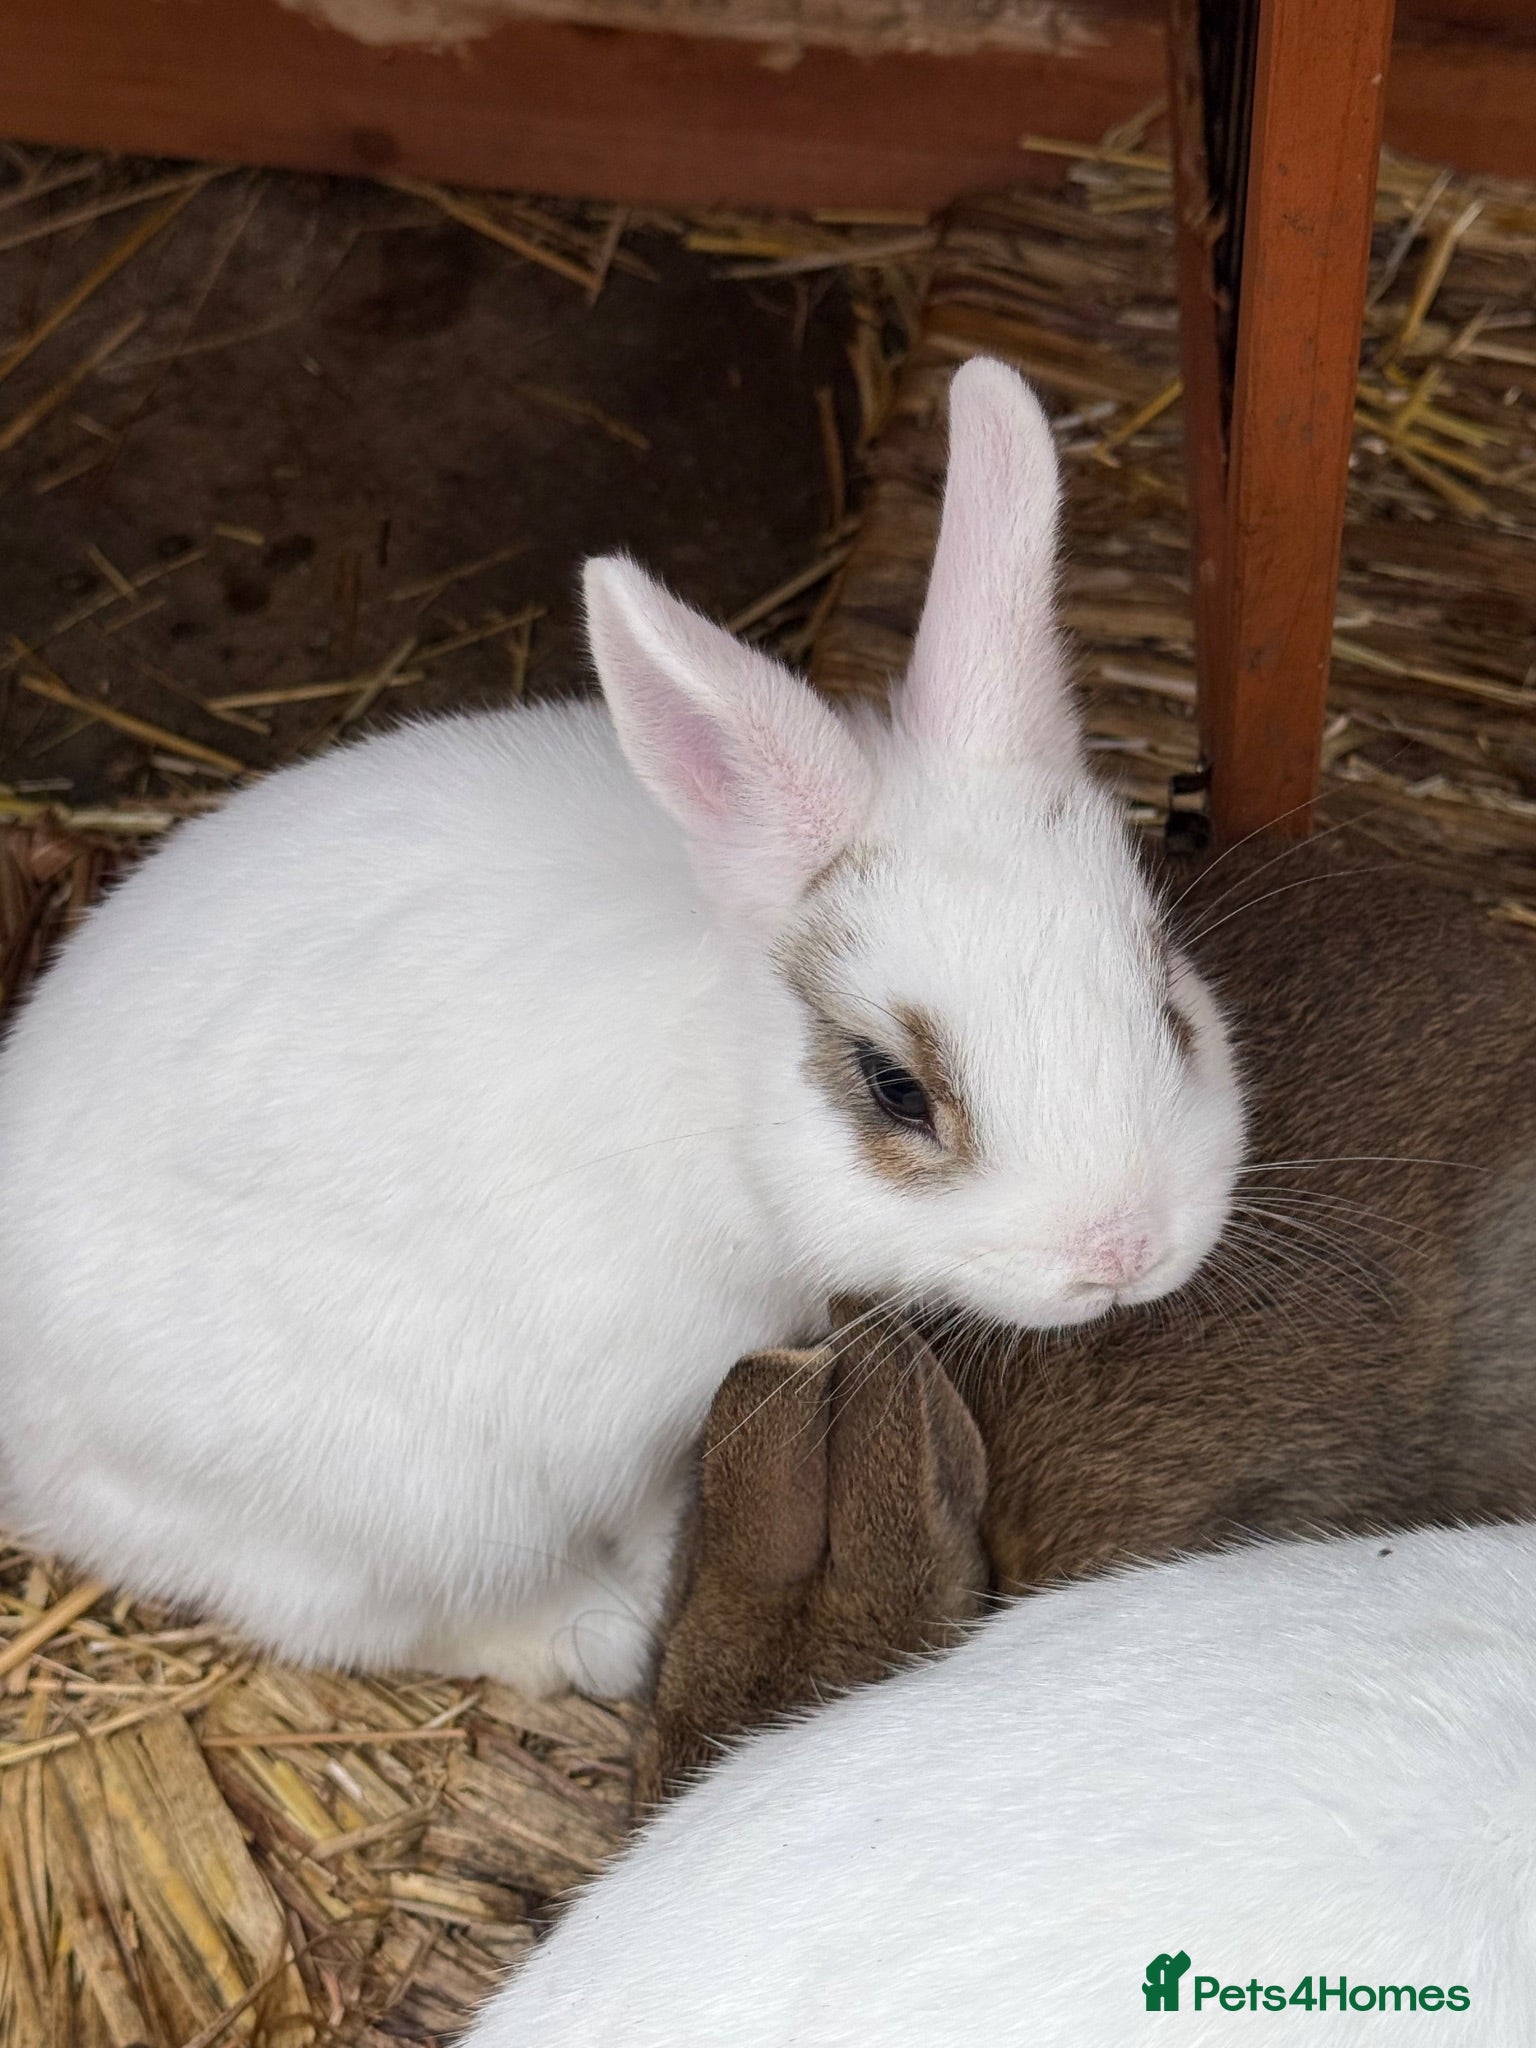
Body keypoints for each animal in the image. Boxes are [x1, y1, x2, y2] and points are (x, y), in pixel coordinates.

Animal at [0, 358, 1245, 1696]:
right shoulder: (640, 1410)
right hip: (396, 1497)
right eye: (893, 1087)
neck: (716, 1106)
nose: (1122, 1250)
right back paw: (599, 1627)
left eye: (1168, 1002)